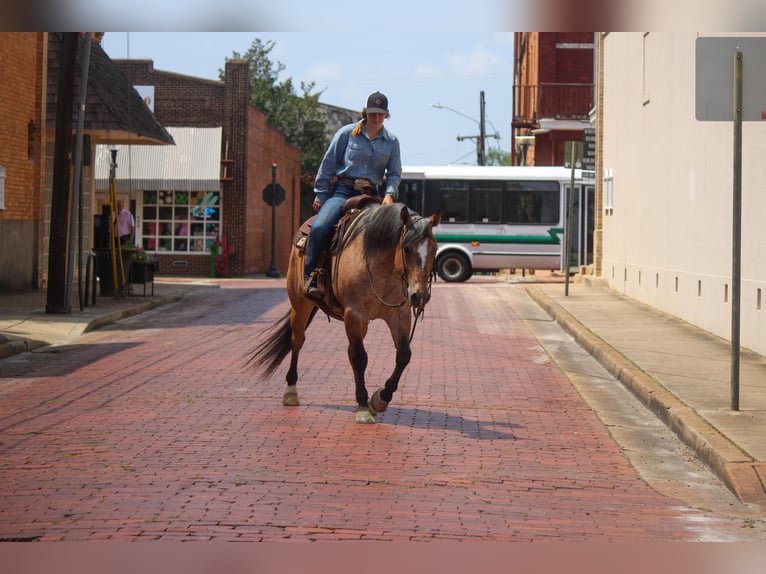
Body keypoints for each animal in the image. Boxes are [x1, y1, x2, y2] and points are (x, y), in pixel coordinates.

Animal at [250, 200, 440, 426]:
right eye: (407, 248)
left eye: (434, 249)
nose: (419, 295)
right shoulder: (354, 314)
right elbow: (360, 358)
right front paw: (363, 408)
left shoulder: (399, 314)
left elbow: (403, 355)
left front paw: (379, 399)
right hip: (300, 303)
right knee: (297, 340)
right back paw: (291, 391)